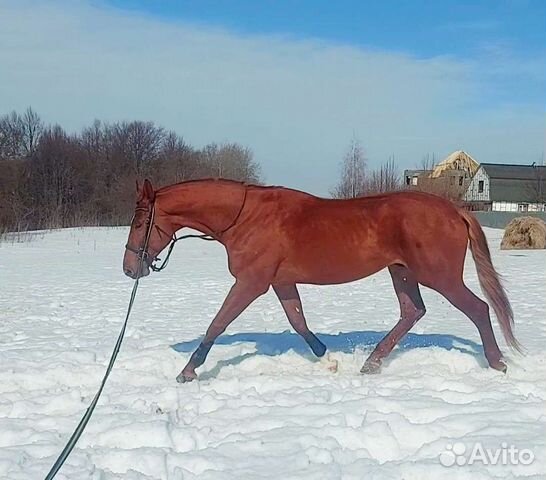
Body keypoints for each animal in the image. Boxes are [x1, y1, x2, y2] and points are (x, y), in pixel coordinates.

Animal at [123, 177, 520, 382]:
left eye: (141, 221)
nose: (130, 268)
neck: (245, 217)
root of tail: (454, 209)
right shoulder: (280, 282)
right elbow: (298, 322)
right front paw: (327, 360)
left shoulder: (250, 283)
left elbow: (217, 323)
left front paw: (188, 370)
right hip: (402, 272)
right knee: (412, 312)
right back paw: (371, 363)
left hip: (439, 276)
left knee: (478, 309)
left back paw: (497, 362)